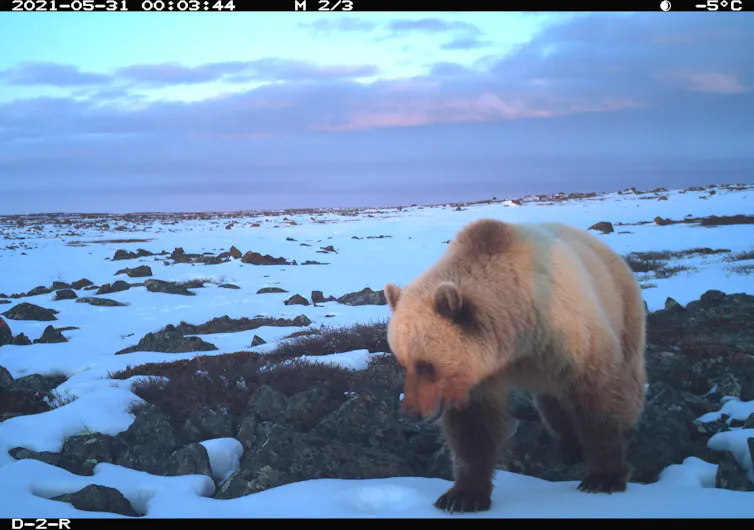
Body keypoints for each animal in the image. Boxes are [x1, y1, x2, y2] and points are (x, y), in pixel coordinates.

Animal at [383, 218, 646, 513]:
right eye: (402, 361)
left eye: (425, 365)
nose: (410, 411)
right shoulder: (479, 371)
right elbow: (473, 429)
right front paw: (462, 495)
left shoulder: (569, 334)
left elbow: (597, 396)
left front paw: (603, 477)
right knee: (553, 404)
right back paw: (569, 445)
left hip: (622, 308)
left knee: (627, 379)